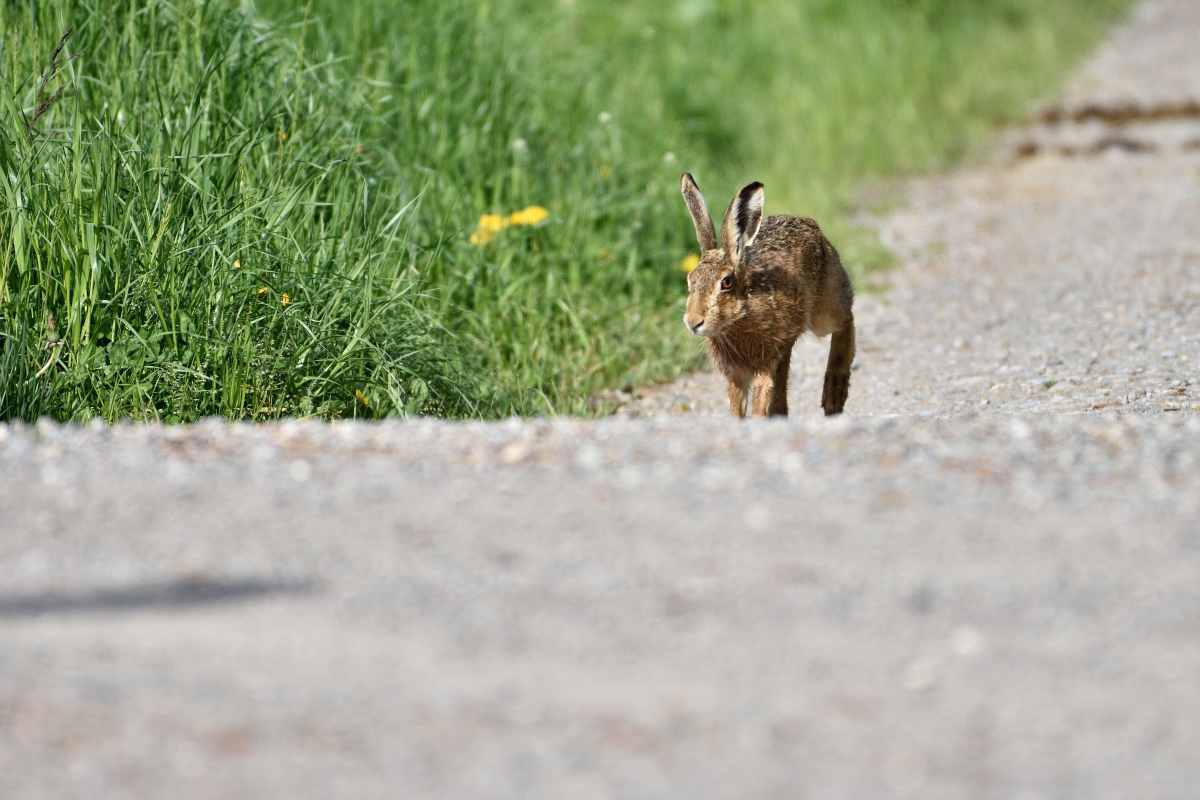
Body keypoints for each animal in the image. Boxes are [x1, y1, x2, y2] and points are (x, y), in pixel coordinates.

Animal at [680, 172, 855, 417]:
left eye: (726, 282)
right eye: (690, 280)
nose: (693, 322)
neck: (741, 316)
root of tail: (809, 224)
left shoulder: (769, 358)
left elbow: (761, 397)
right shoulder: (737, 373)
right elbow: (737, 405)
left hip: (825, 309)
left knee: (845, 320)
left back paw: (833, 397)